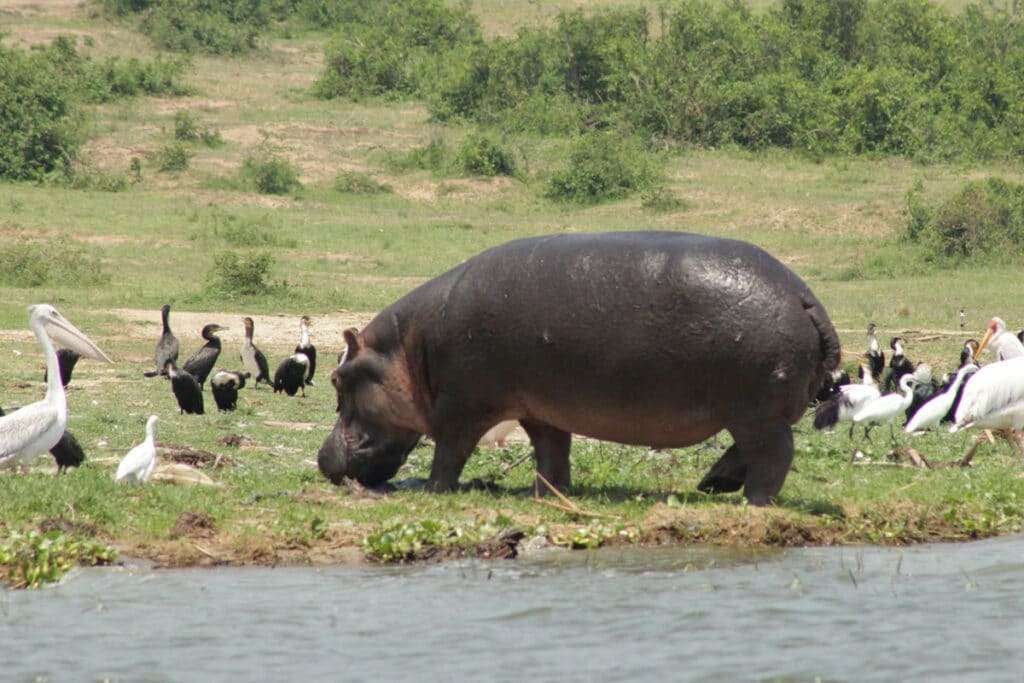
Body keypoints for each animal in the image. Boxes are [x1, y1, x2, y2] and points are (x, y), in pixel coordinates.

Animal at [319, 231, 840, 505]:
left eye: (338, 379)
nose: (323, 460)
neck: (408, 348)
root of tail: (806, 297)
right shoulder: (539, 409)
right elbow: (552, 451)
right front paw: (549, 494)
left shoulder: (461, 408)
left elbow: (449, 453)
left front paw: (432, 492)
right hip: (750, 411)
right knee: (748, 450)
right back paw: (713, 485)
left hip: (756, 412)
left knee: (774, 454)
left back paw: (754, 500)